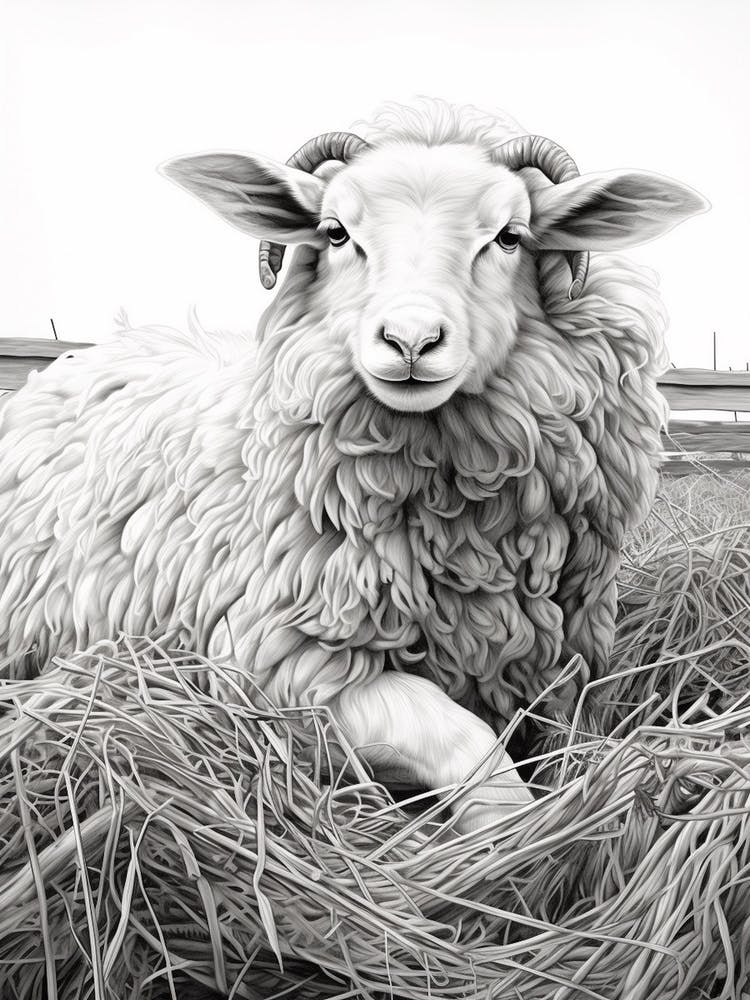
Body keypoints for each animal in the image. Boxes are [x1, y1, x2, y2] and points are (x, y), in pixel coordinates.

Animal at [0, 98, 707, 833]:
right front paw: (511, 848)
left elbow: (575, 743)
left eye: (511, 237)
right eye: (337, 233)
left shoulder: (564, 663)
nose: (410, 340)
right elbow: (471, 752)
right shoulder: (279, 670)